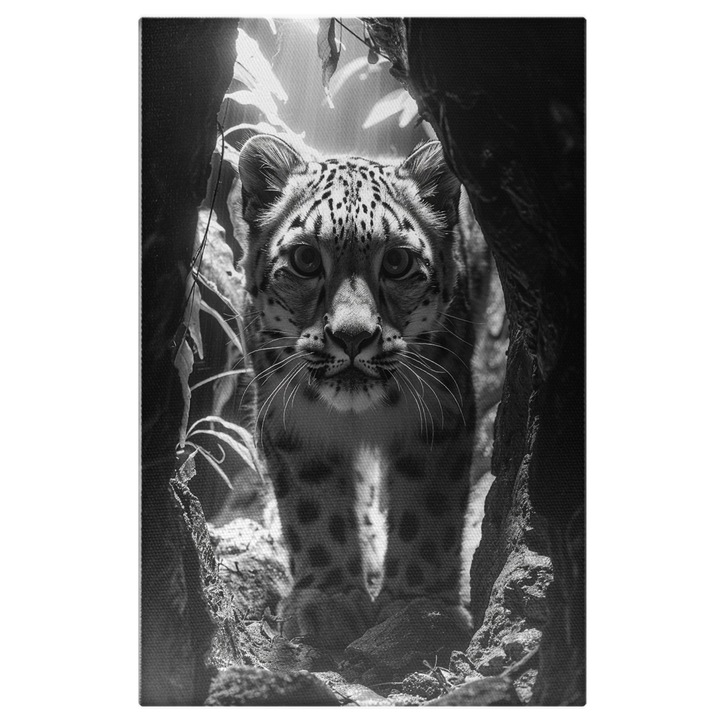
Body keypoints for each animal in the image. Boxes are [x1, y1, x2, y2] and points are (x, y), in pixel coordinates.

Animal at [229, 134, 476, 648]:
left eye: (398, 262)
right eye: (305, 260)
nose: (352, 336)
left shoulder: (438, 415)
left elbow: (428, 508)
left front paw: (417, 609)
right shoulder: (294, 420)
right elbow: (315, 507)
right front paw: (330, 601)